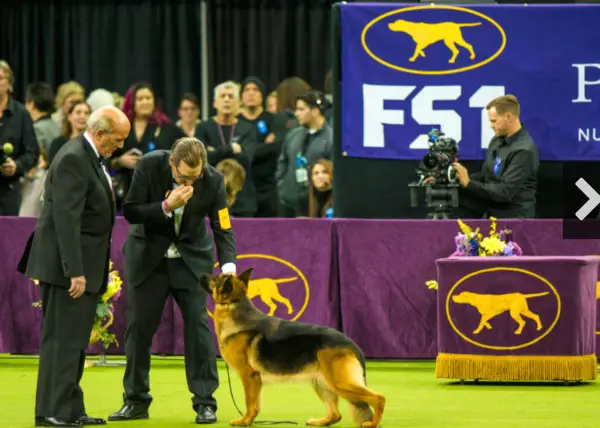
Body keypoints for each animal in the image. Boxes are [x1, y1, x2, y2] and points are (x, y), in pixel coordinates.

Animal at [199, 270, 382, 426]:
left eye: (215, 279)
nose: (201, 274)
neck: (233, 304)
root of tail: (352, 344)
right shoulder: (254, 380)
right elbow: (255, 404)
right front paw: (249, 420)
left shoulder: (249, 376)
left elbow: (250, 403)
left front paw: (245, 421)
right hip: (323, 384)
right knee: (336, 415)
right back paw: (319, 422)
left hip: (339, 383)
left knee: (379, 399)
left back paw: (372, 423)